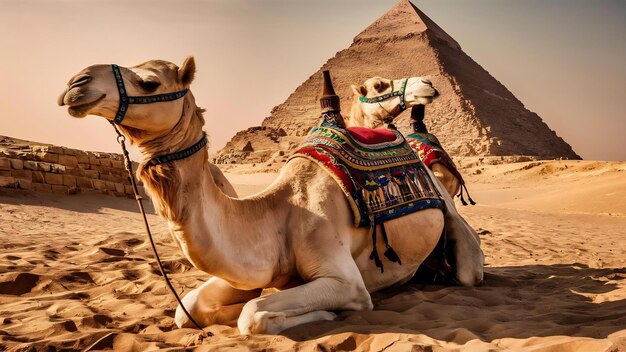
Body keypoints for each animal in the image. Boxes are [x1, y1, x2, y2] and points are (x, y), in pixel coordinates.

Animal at [57, 57, 482, 332]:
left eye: (149, 82)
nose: (75, 83)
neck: (278, 216)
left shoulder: (348, 282)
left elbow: (252, 316)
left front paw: (325, 316)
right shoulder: (250, 271)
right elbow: (188, 308)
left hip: (453, 225)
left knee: (466, 271)